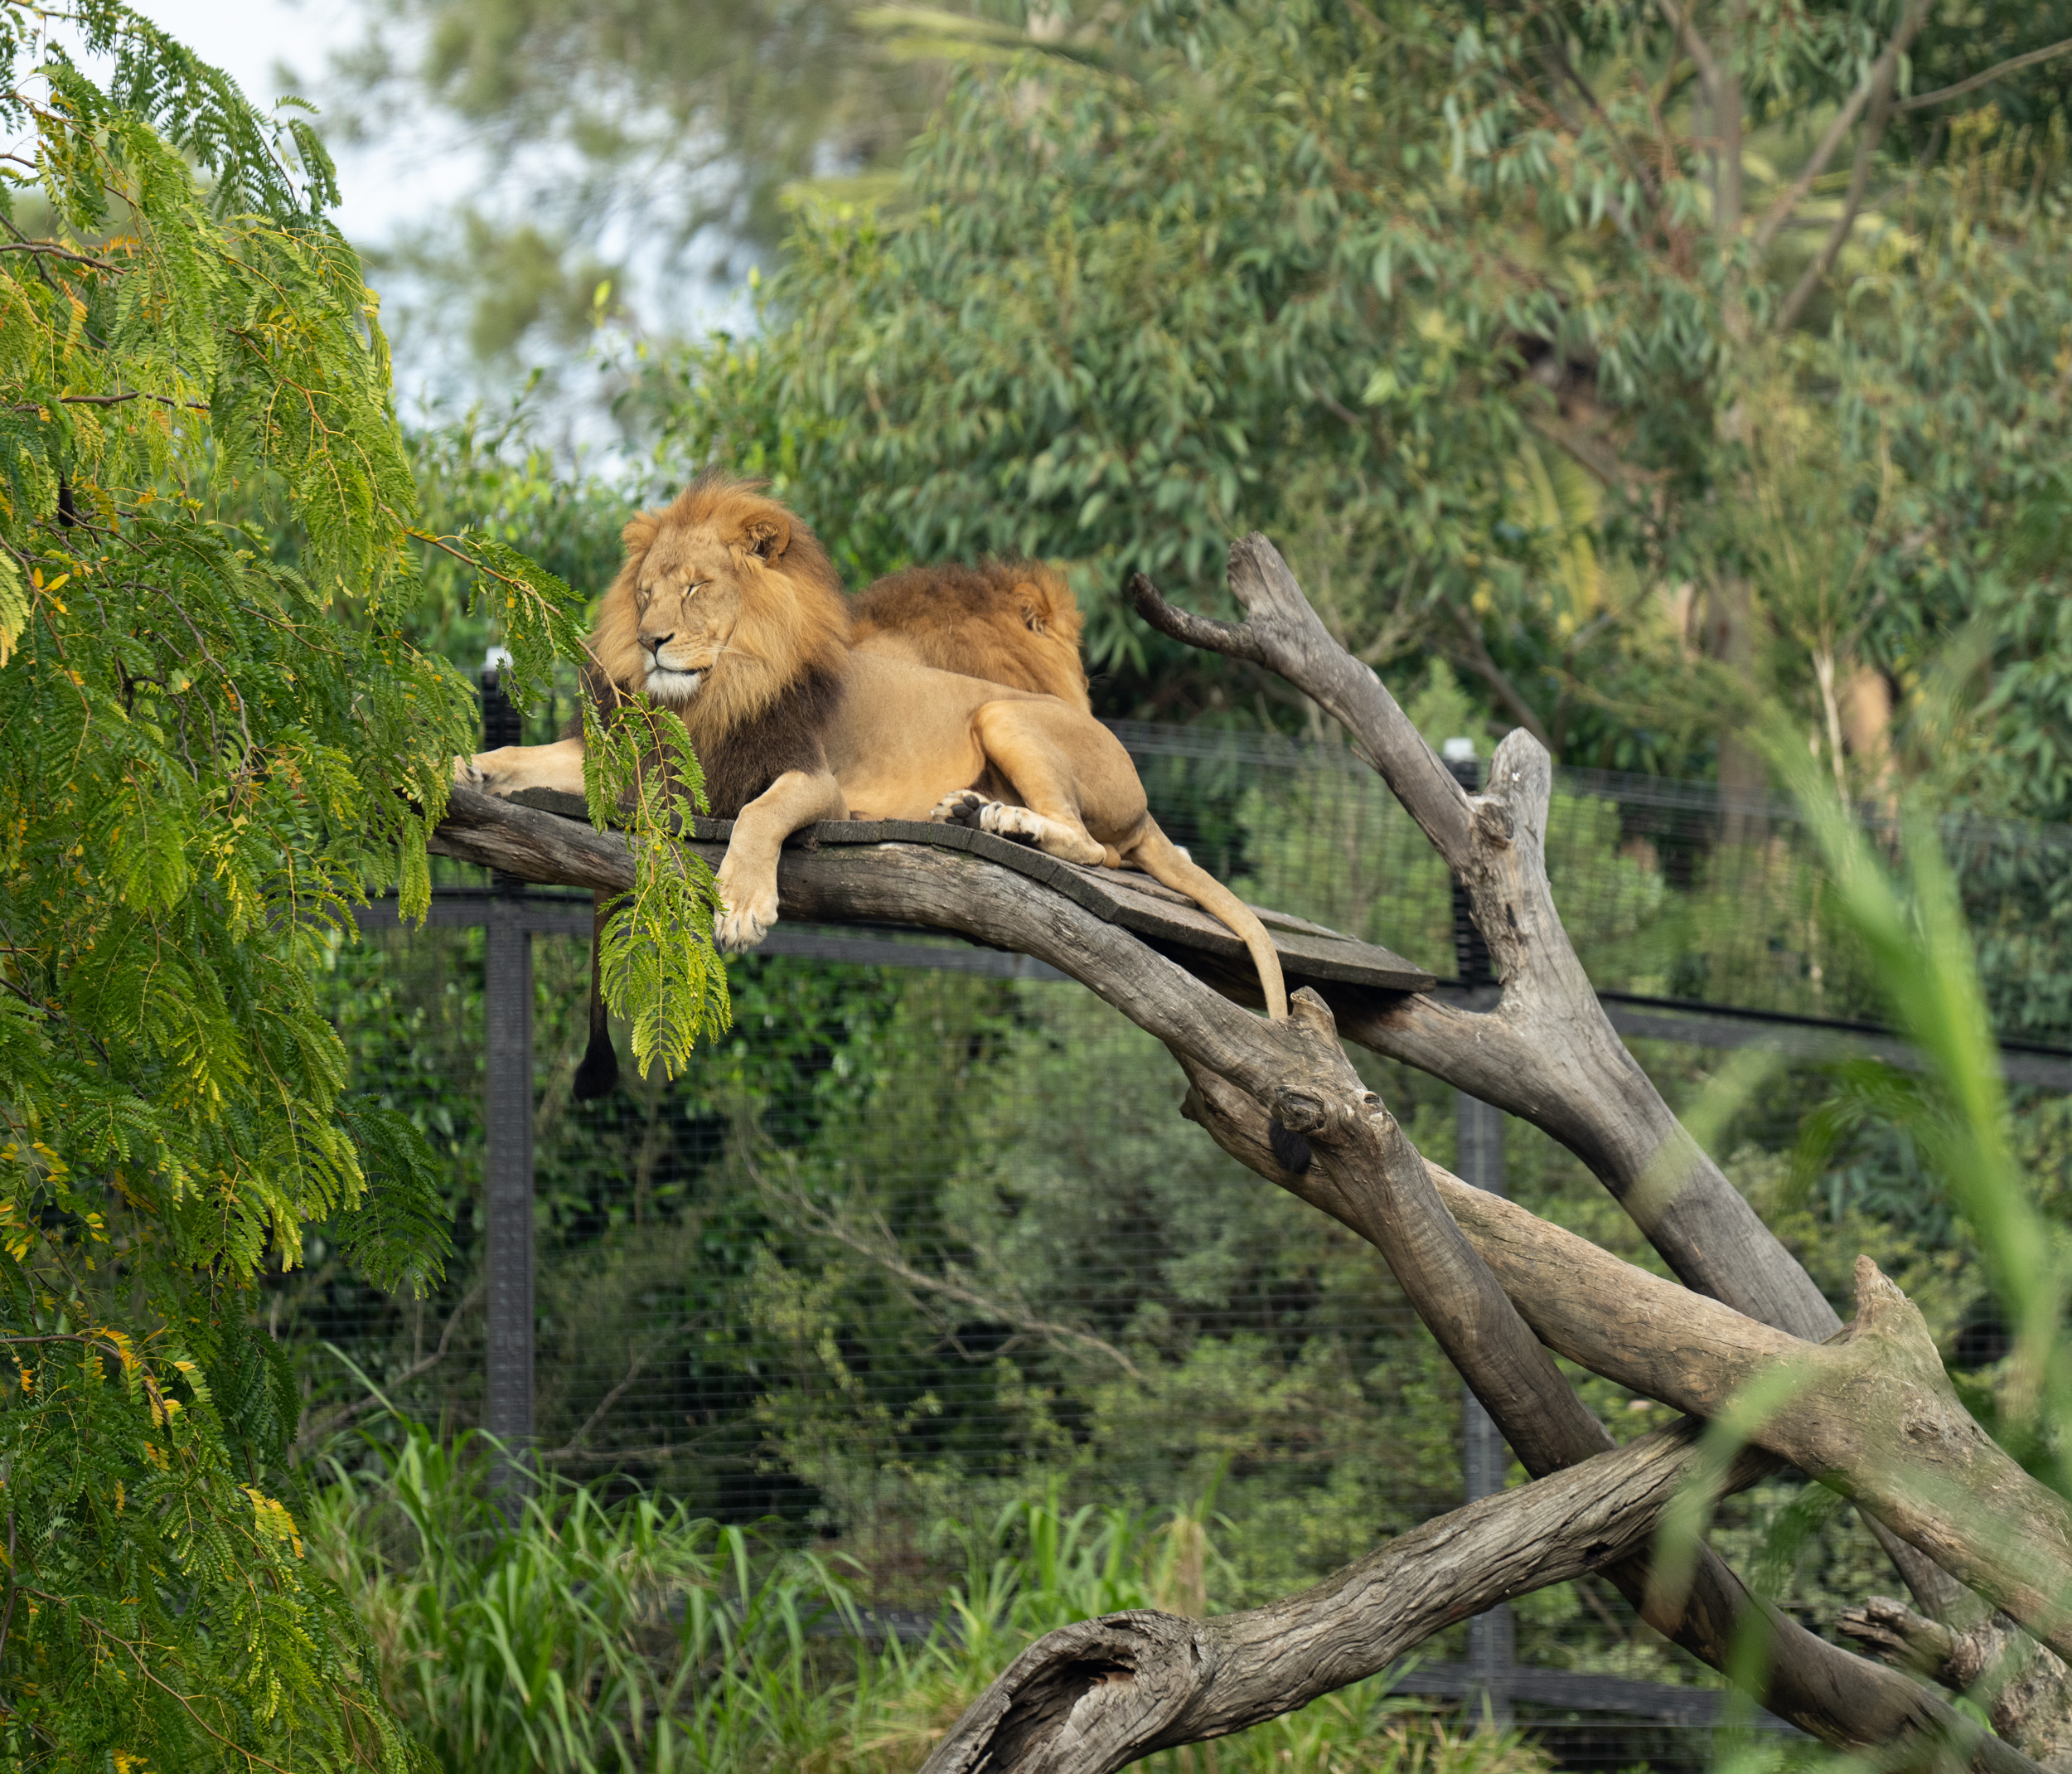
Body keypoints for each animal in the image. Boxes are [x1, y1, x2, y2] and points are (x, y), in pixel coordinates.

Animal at [462, 478, 1285, 1094]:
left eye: (695, 589)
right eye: (644, 593)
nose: (649, 641)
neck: (710, 693)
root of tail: (1143, 800)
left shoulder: (813, 781)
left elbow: (760, 815)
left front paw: (743, 907)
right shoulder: (641, 768)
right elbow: (531, 755)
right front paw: (467, 767)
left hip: (1003, 712)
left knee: (1093, 848)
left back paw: (1009, 824)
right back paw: (970, 809)